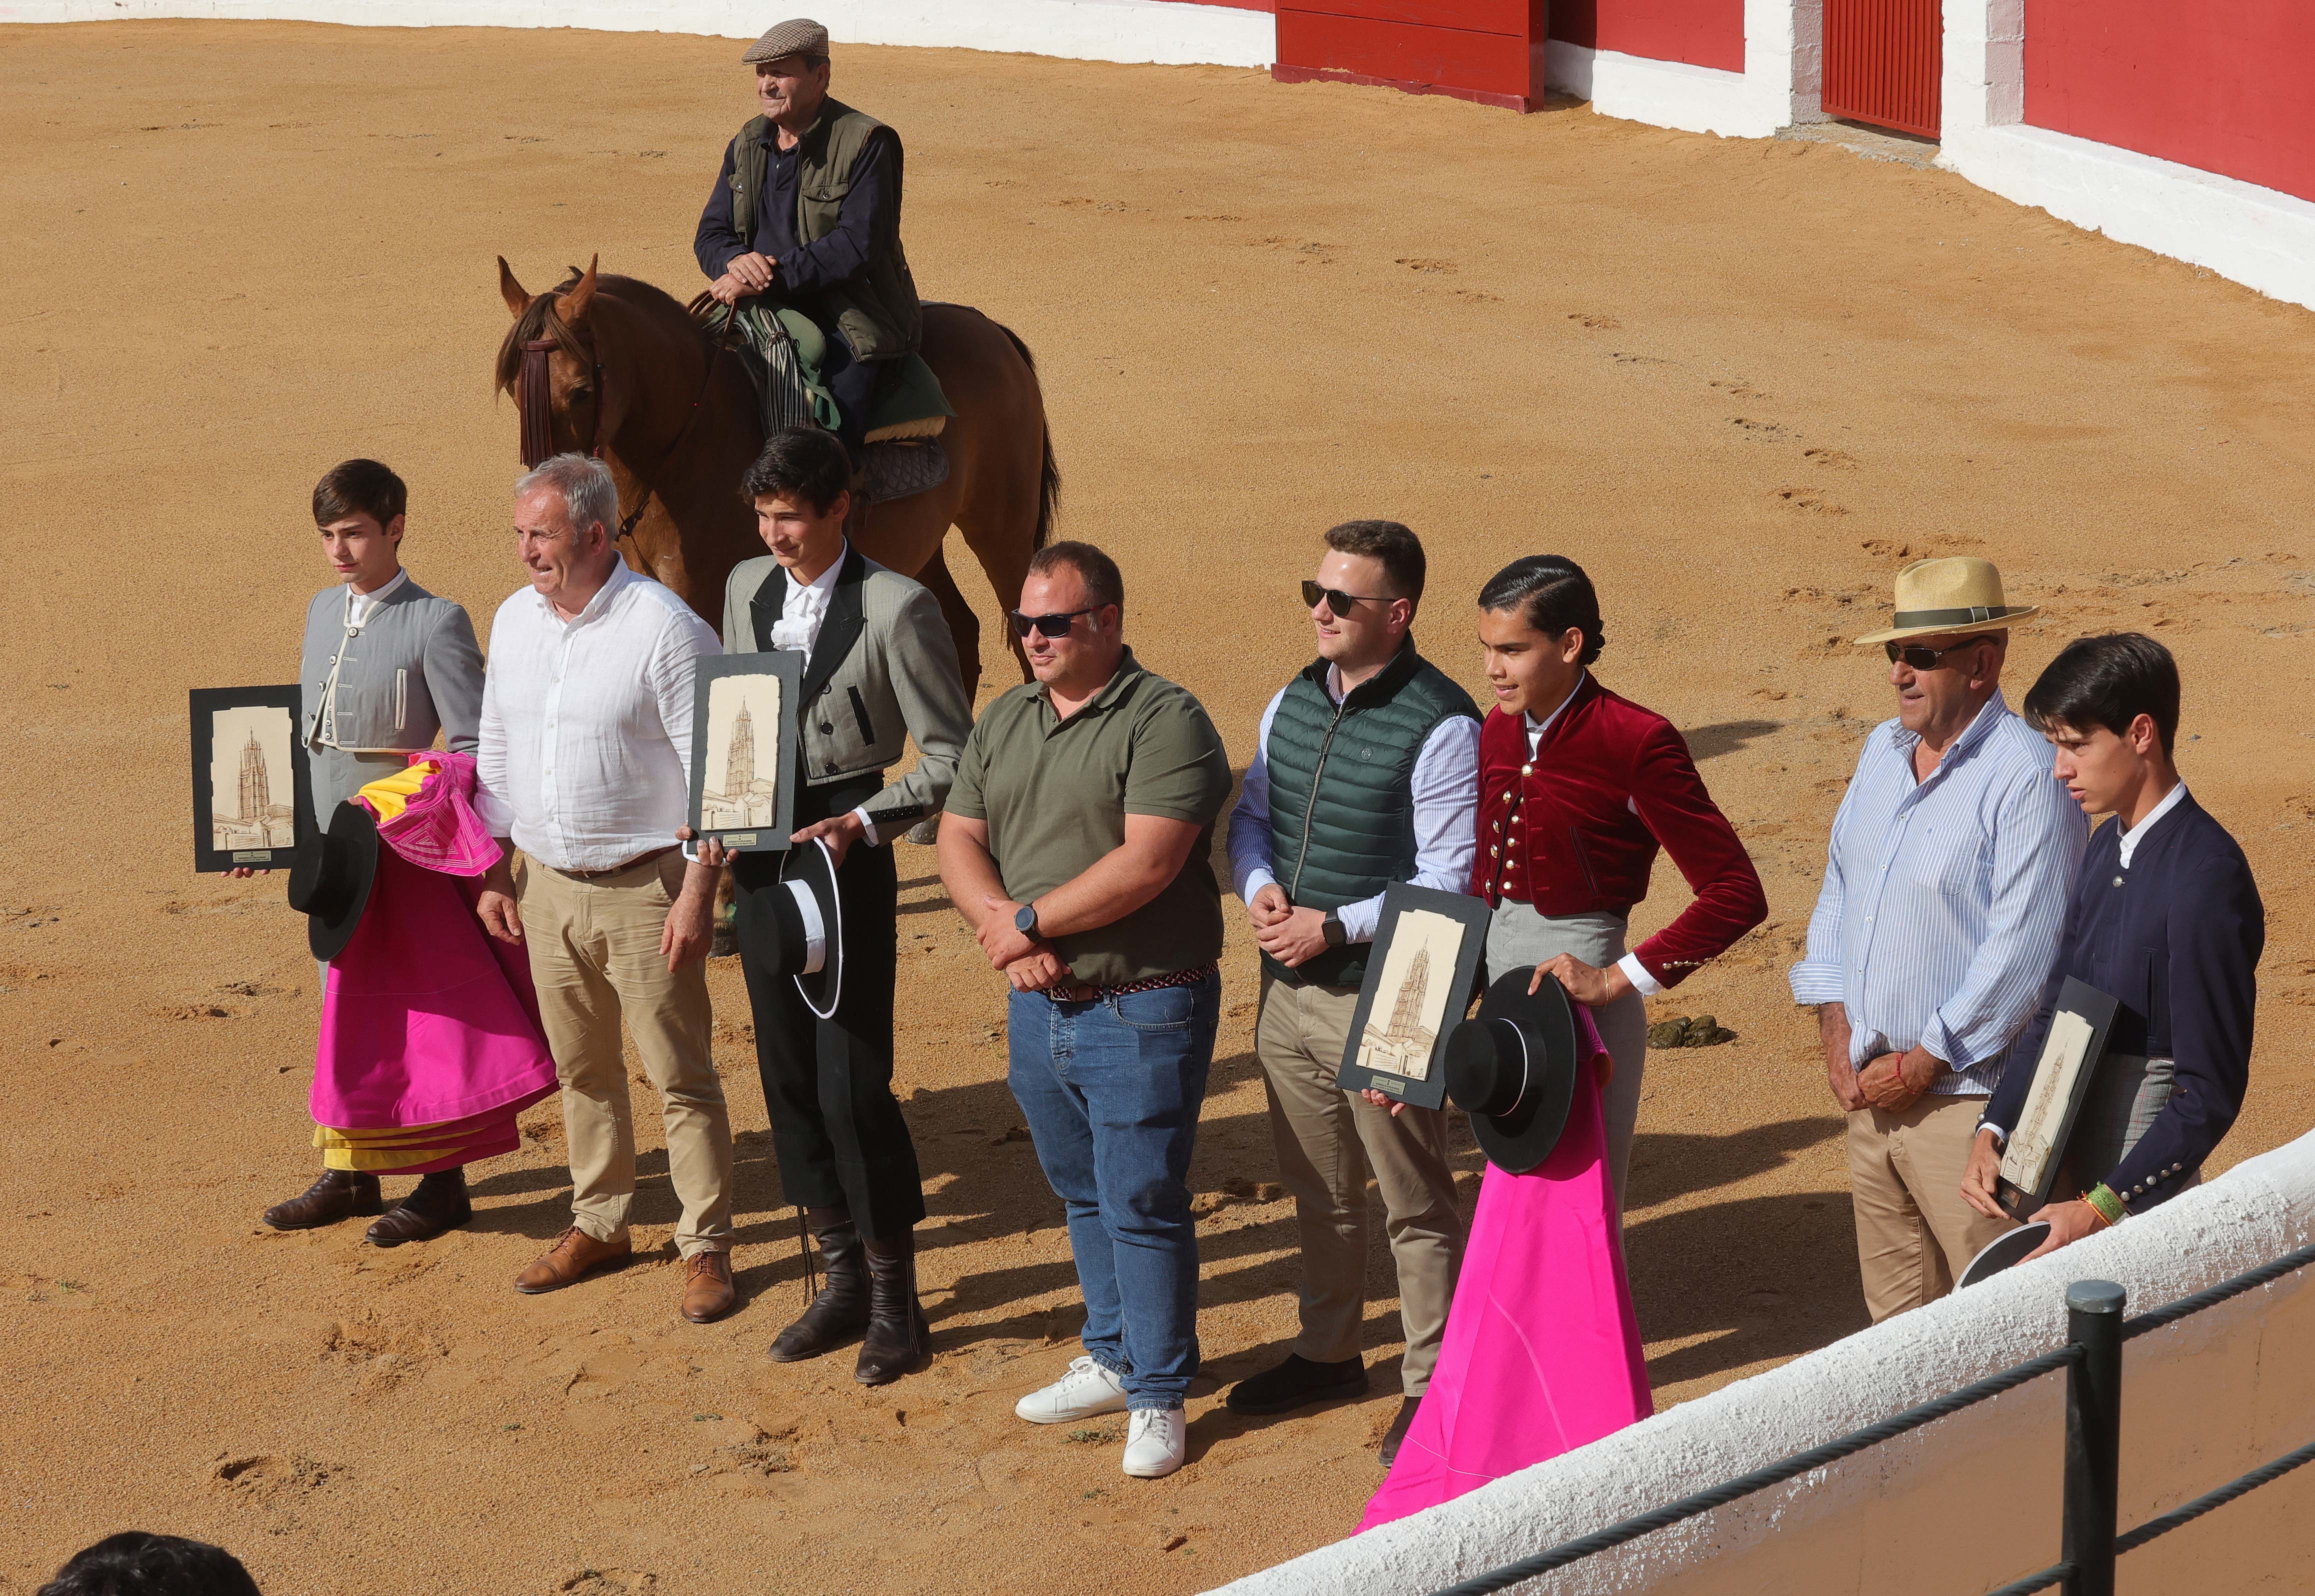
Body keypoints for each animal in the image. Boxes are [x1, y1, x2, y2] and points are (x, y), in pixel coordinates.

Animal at [502, 253, 1060, 689]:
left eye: (581, 391)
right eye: (513, 390)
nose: (541, 504)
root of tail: (990, 329)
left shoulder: (710, 605)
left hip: (1001, 529)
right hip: (919, 541)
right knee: (960, 630)